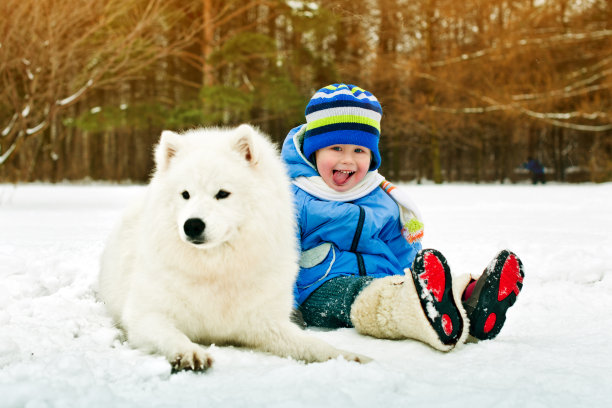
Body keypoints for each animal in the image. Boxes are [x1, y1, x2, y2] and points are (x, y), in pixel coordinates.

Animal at [96, 125, 364, 372]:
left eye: (222, 194)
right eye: (185, 194)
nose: (192, 225)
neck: (216, 269)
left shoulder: (267, 321)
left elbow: (313, 345)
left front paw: (349, 357)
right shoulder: (146, 315)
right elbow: (171, 335)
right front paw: (189, 353)